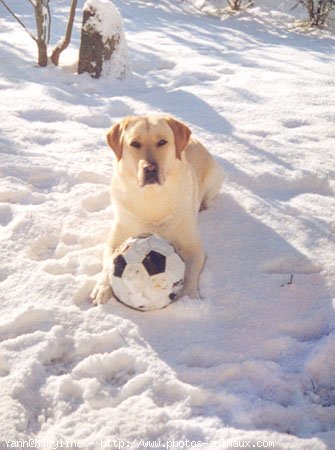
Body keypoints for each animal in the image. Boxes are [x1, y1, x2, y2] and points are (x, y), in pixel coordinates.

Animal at [90, 114, 224, 306]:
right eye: (135, 143)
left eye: (162, 142)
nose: (150, 168)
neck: (152, 199)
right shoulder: (114, 242)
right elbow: (109, 264)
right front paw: (102, 288)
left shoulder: (194, 248)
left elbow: (190, 274)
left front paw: (189, 297)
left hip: (215, 178)